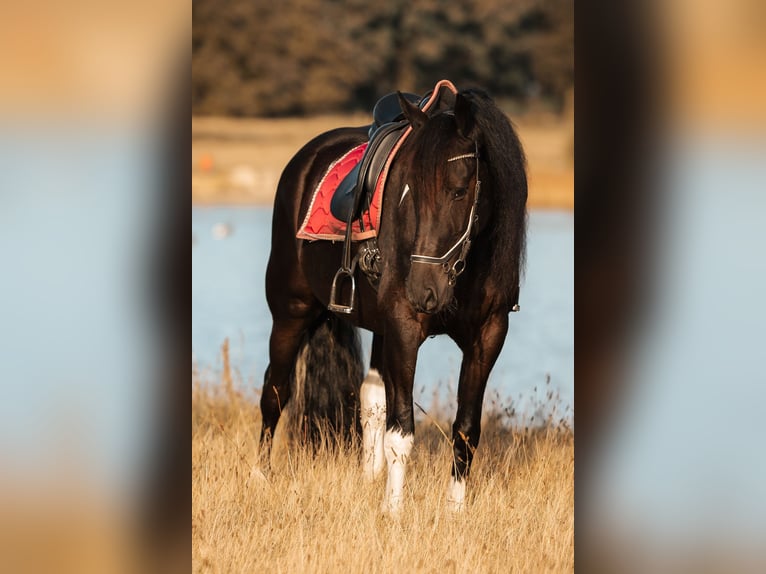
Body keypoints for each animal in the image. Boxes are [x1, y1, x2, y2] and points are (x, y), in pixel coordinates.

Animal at [260, 83, 528, 516]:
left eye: (458, 191)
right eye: (410, 194)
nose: (424, 289)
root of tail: (304, 160)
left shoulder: (488, 335)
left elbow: (466, 430)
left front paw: (454, 511)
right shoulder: (404, 326)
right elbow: (401, 431)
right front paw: (393, 512)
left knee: (370, 397)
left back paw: (369, 477)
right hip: (290, 312)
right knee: (275, 391)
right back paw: (260, 476)